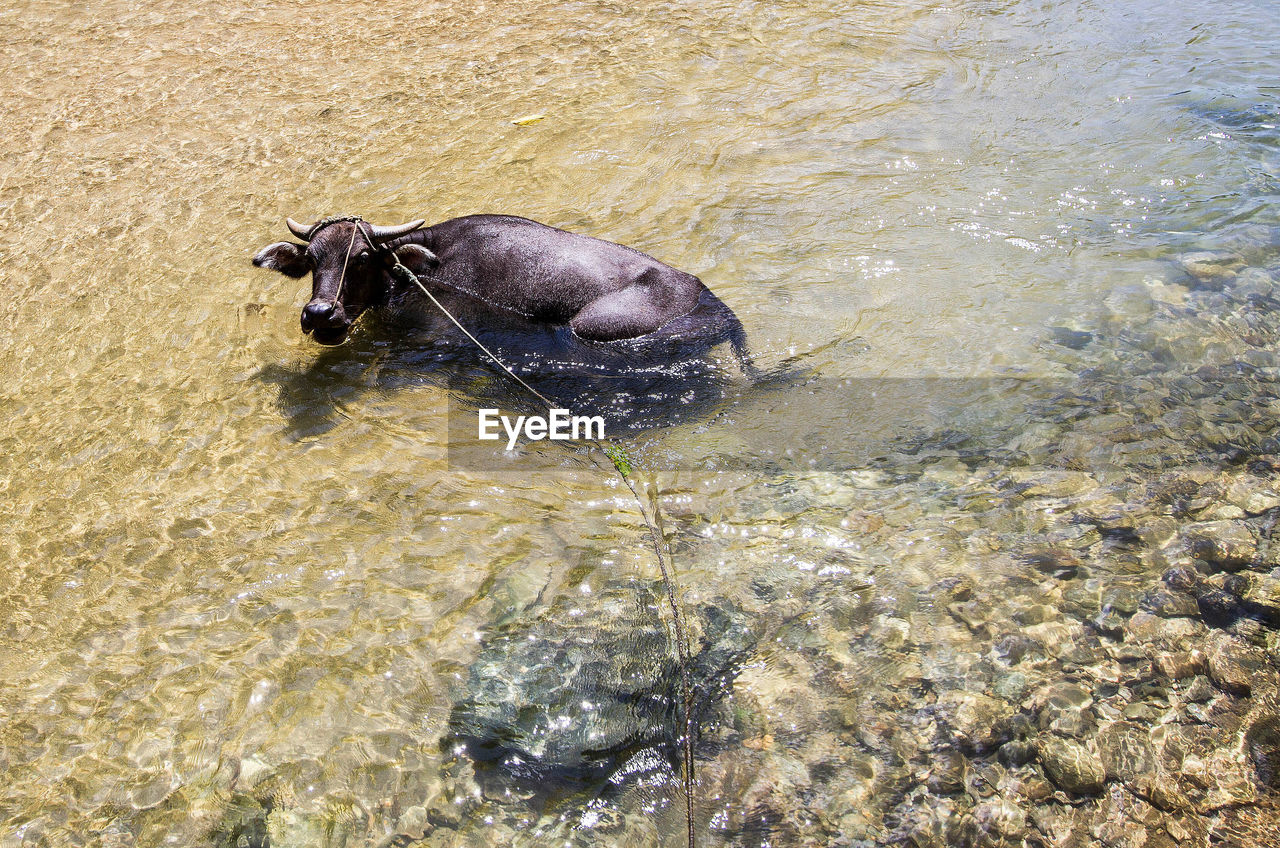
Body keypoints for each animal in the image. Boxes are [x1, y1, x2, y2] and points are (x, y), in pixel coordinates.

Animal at [252, 213, 747, 374]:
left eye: (359, 259)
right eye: (313, 261)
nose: (320, 313)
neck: (422, 267)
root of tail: (717, 306)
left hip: (592, 326)